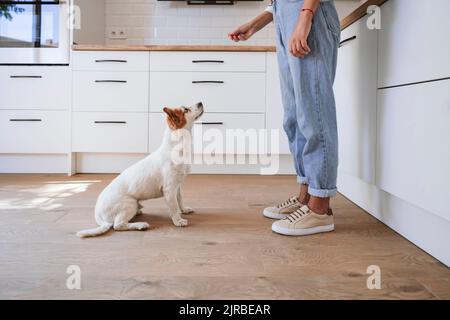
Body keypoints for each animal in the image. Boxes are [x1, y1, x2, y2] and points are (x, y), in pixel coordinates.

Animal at [77, 102, 204, 238]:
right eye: (186, 110)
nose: (200, 102)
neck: (176, 148)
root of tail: (99, 216)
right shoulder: (169, 189)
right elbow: (174, 207)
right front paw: (178, 221)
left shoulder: (177, 185)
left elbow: (180, 199)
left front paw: (184, 210)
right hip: (130, 203)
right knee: (118, 225)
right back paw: (141, 225)